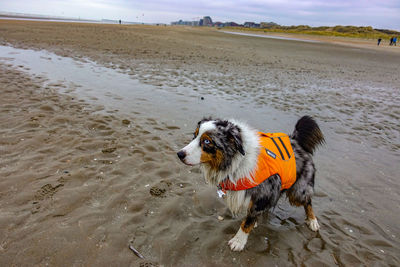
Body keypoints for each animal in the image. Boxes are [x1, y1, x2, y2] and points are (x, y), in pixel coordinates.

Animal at [177, 116, 324, 252]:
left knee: (307, 201)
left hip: (298, 192)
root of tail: (295, 140)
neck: (236, 161)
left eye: (207, 141)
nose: (179, 154)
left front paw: (238, 241)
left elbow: (247, 222)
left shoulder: (263, 194)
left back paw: (313, 221)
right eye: (195, 135)